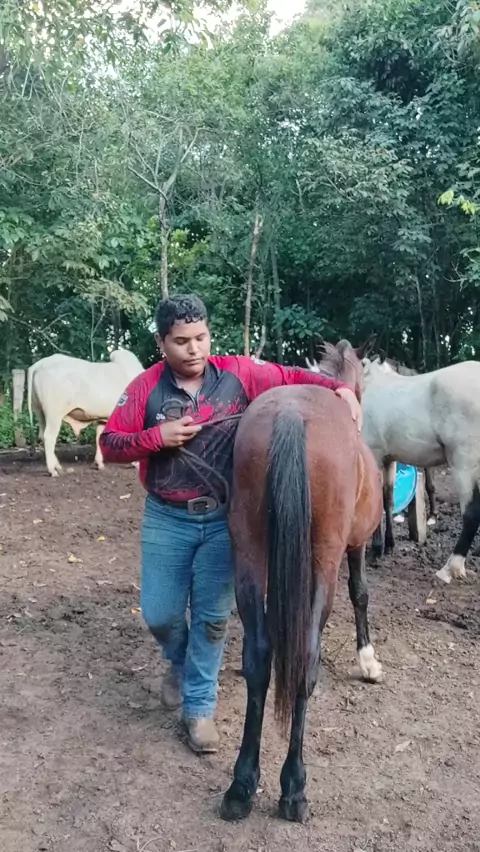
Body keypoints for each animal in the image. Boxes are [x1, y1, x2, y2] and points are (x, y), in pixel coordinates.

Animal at [220, 340, 383, 824]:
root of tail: (292, 414)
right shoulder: (355, 546)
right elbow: (360, 595)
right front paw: (368, 661)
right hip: (323, 560)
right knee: (305, 662)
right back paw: (293, 787)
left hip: (250, 549)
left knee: (259, 657)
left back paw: (241, 784)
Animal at [361, 355, 480, 584]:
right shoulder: (389, 460)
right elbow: (388, 499)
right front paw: (388, 546)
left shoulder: (375, 456)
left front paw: (375, 551)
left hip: (464, 464)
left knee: (471, 514)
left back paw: (450, 568)